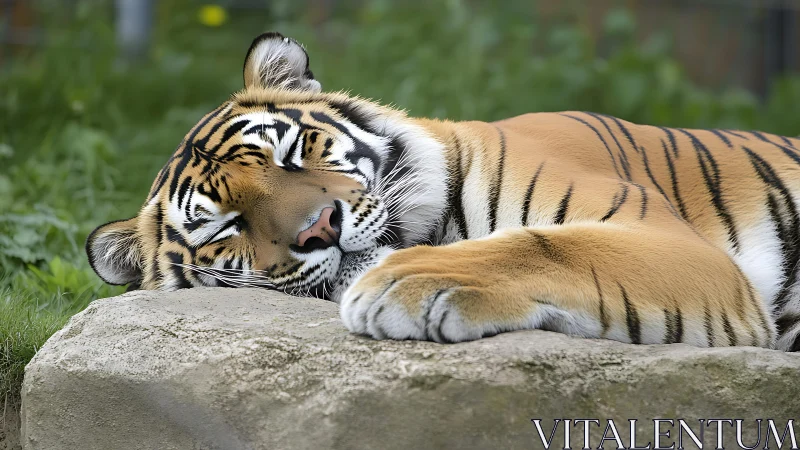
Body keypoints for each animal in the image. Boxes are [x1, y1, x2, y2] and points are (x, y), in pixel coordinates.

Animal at [87, 32, 800, 351]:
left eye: (289, 155)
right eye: (226, 225)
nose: (319, 228)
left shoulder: (669, 239)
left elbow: (548, 244)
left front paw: (406, 283)